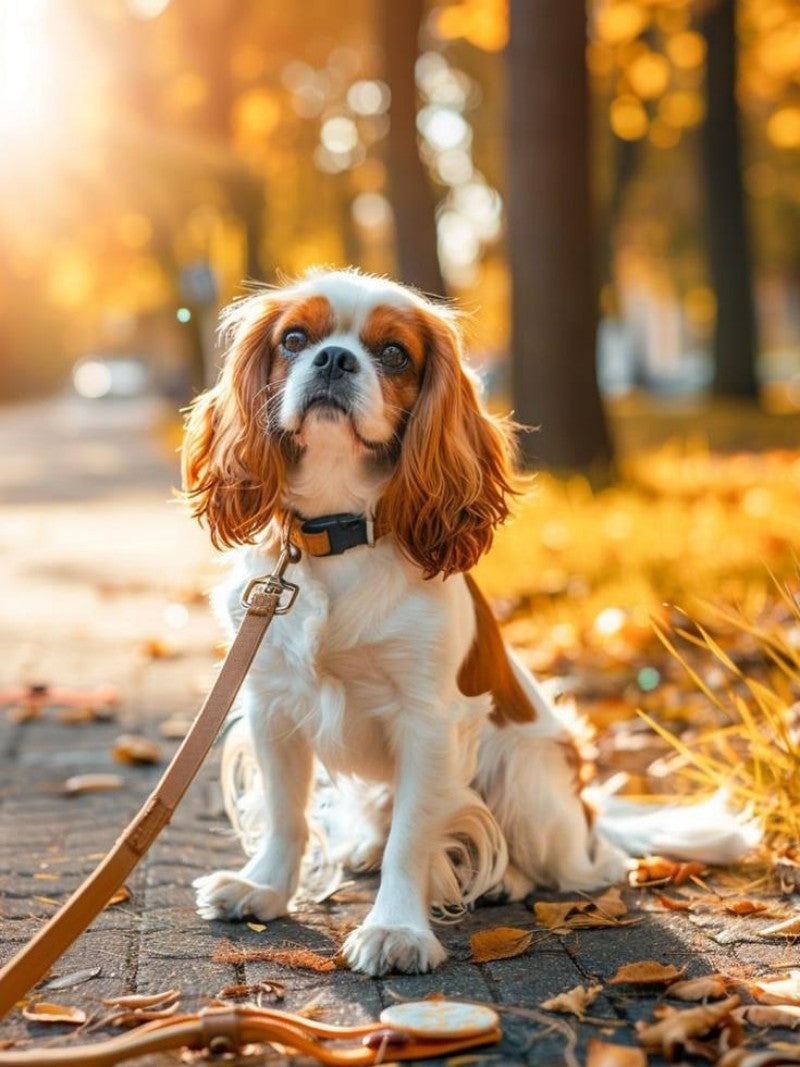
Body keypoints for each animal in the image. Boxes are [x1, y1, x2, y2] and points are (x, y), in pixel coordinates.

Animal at [180, 268, 759, 977]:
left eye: (394, 354)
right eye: (293, 339)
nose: (335, 359)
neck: (340, 535)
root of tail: (588, 811)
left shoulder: (428, 721)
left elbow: (412, 838)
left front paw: (396, 929)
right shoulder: (272, 705)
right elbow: (287, 811)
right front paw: (263, 888)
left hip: (527, 774)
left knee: (578, 866)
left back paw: (503, 876)